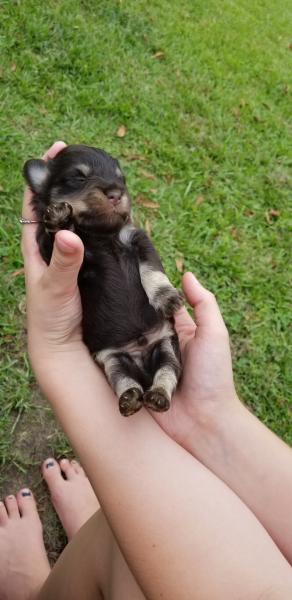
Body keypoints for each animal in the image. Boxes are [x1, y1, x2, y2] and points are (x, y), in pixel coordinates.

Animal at [22, 146, 182, 418]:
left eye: (122, 179)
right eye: (78, 178)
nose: (117, 194)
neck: (100, 233)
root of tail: (139, 356)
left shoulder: (138, 239)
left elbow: (152, 272)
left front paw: (167, 297)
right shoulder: (58, 252)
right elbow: (58, 235)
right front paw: (60, 218)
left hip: (167, 347)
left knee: (167, 372)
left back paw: (158, 395)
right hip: (113, 360)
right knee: (123, 380)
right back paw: (130, 398)